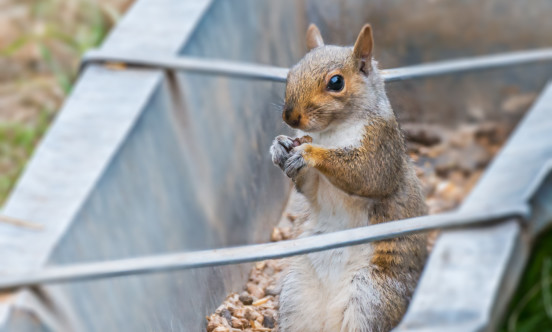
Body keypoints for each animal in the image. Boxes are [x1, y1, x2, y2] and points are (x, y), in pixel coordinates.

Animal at [270, 24, 430, 332]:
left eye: (336, 82)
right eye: (290, 74)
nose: (290, 117)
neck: (330, 132)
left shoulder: (381, 144)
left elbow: (367, 175)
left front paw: (309, 153)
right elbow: (309, 188)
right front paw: (280, 146)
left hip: (370, 295)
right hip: (296, 293)